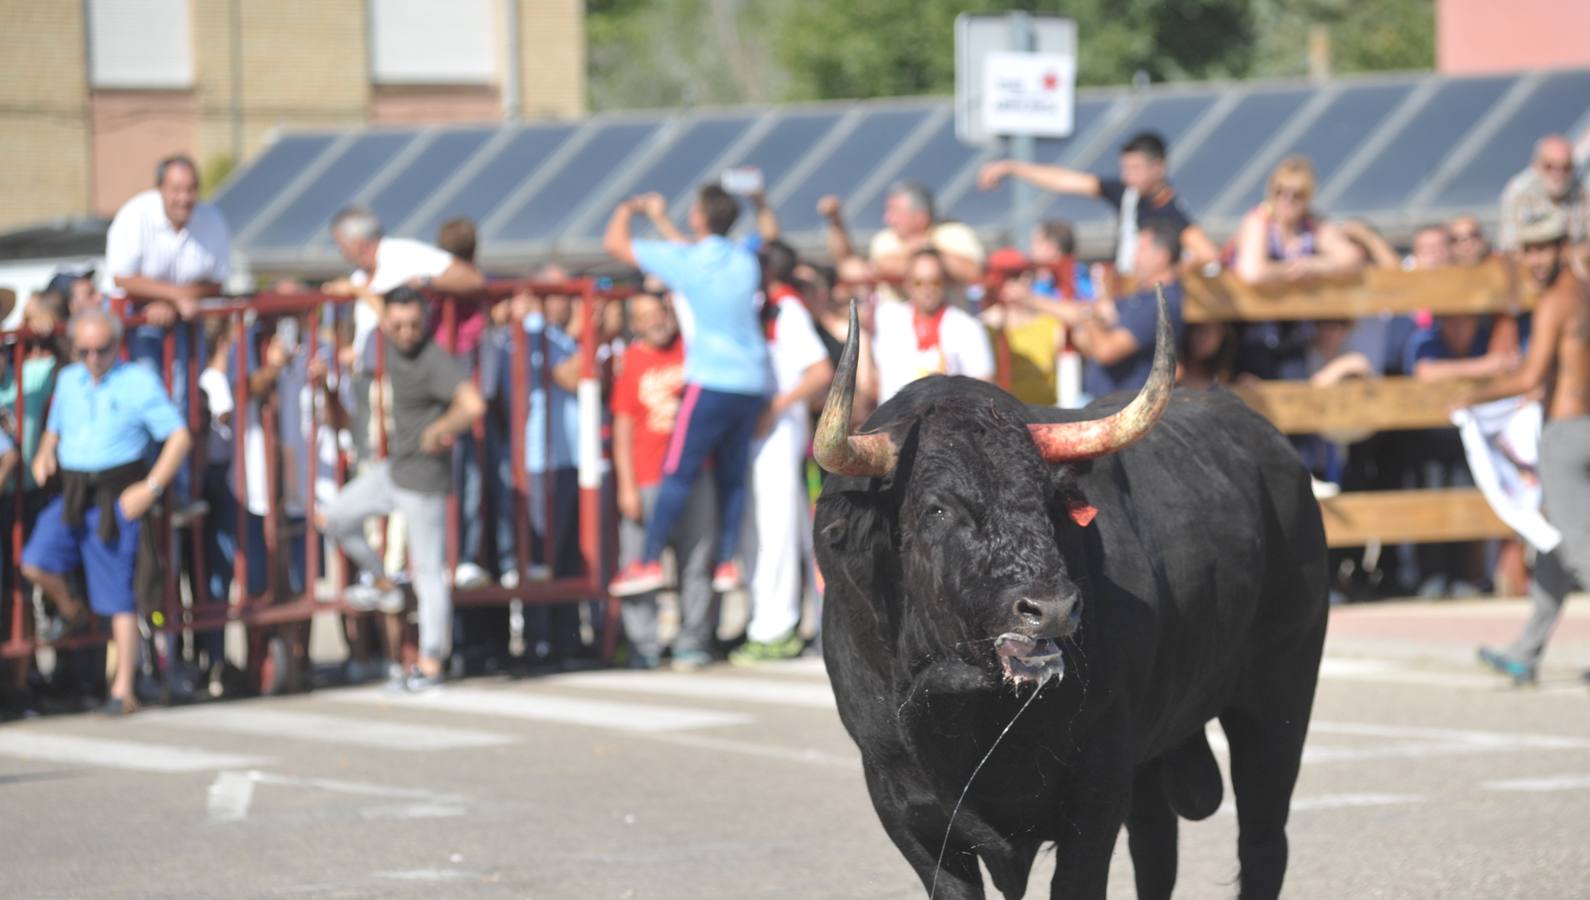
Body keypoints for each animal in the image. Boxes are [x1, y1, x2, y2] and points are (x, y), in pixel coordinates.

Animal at [814, 297, 1322, 900]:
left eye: (1048, 501)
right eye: (936, 508)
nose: (1052, 608)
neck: (965, 707)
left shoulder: (1098, 788)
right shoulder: (905, 808)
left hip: (1280, 697)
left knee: (1263, 838)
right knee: (1157, 846)